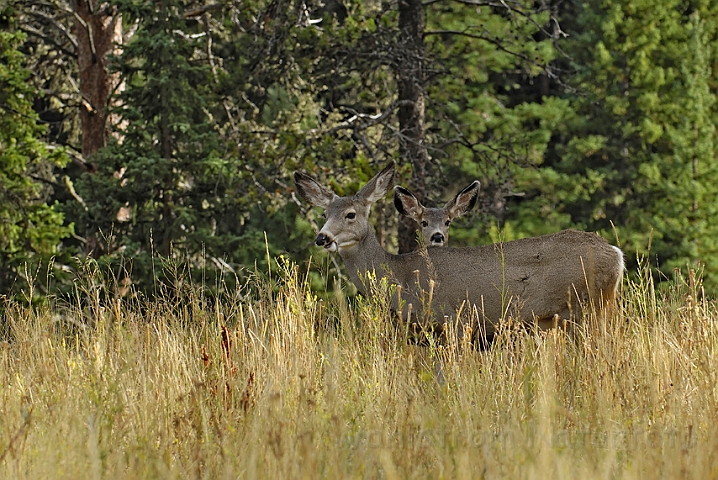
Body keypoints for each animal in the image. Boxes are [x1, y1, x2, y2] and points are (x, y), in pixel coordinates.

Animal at [292, 162, 624, 334]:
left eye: (350, 214)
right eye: (324, 213)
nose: (322, 238)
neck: (400, 276)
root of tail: (616, 255)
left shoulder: (449, 319)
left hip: (587, 308)